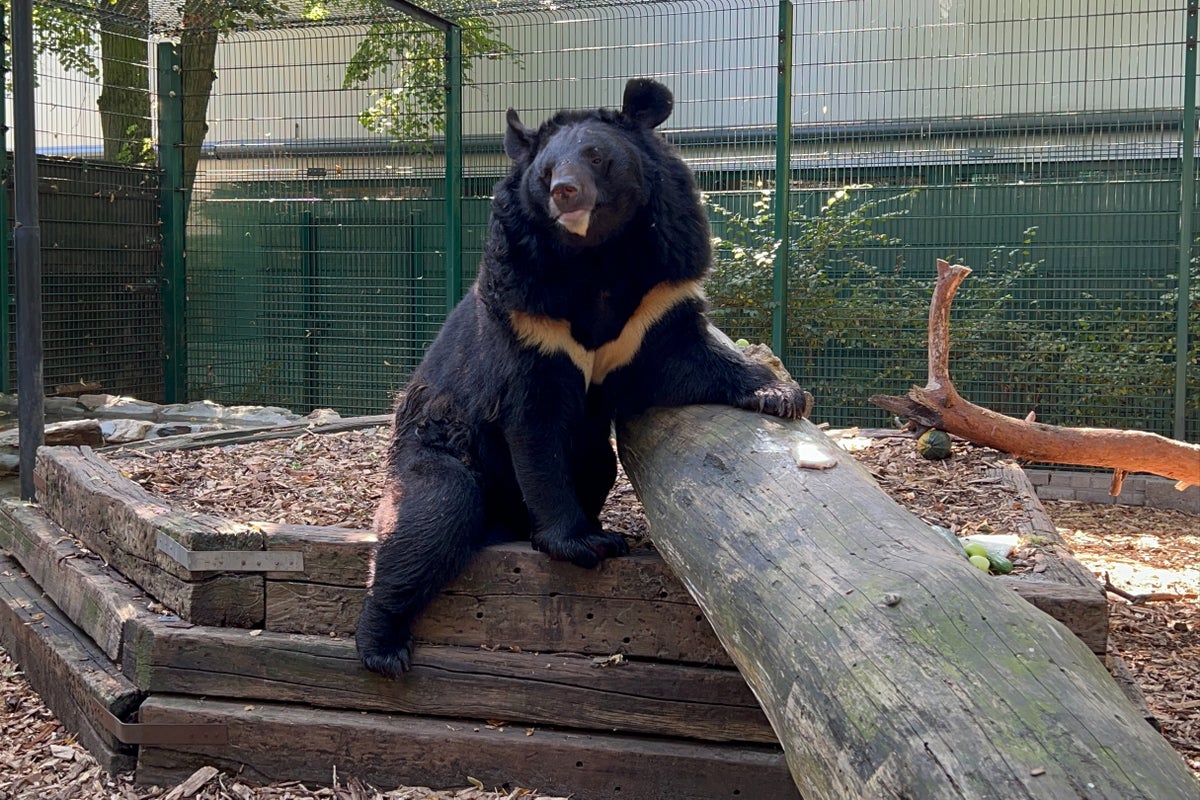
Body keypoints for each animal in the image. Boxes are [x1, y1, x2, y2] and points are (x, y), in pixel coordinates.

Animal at [352, 77, 806, 681]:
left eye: (596, 156)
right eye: (545, 172)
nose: (565, 191)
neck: (596, 259)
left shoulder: (655, 300)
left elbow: (683, 359)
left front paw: (782, 393)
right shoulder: (527, 317)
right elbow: (535, 429)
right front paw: (586, 543)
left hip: (586, 457)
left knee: (596, 463)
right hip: (434, 447)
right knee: (428, 519)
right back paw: (383, 645)